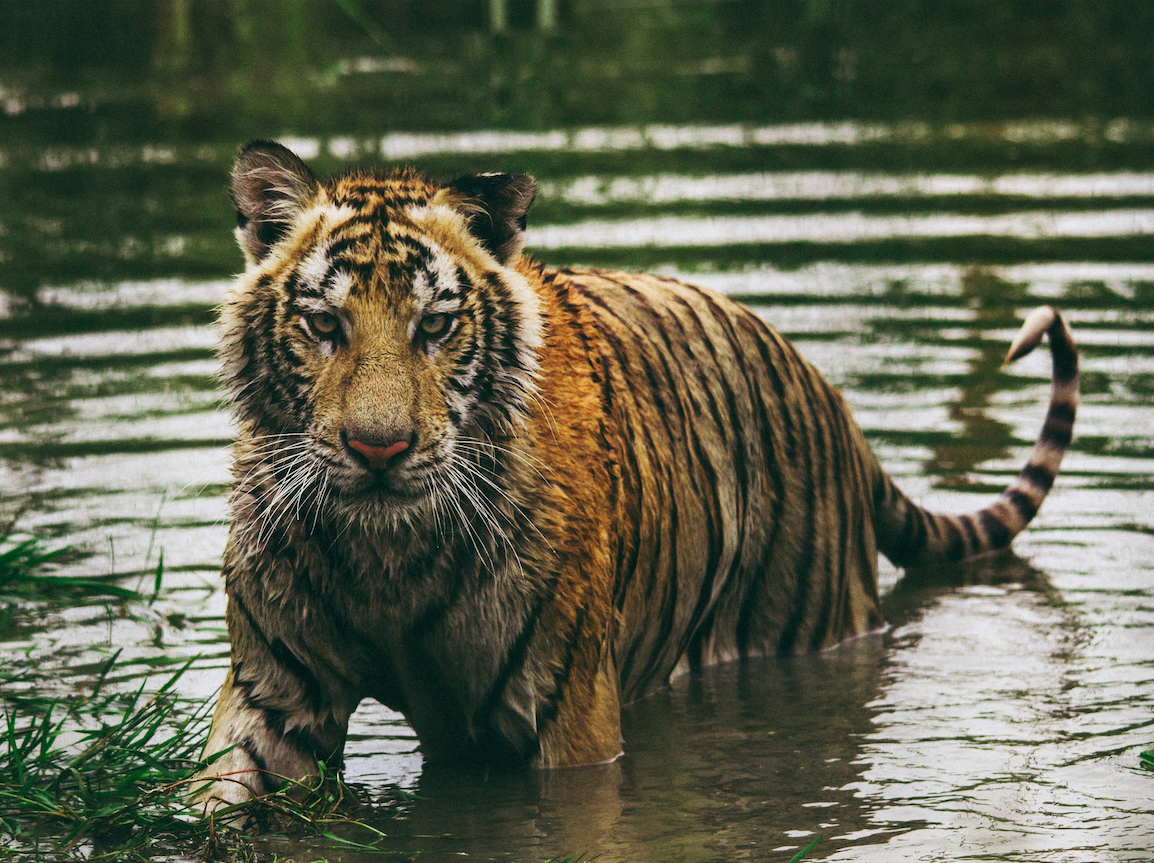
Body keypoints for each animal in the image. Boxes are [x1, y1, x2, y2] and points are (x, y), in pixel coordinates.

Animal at [191, 140, 1078, 813]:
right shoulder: (274, 696)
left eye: (436, 326)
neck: (387, 559)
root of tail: (835, 403)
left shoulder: (567, 715)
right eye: (324, 323)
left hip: (810, 626)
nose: (379, 449)